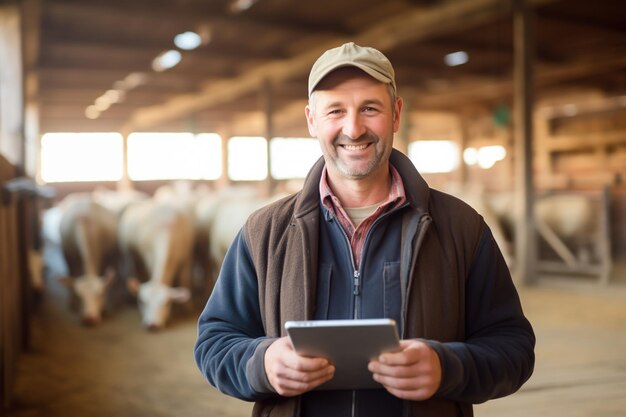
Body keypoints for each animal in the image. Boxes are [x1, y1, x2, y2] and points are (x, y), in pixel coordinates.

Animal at [118, 200, 194, 330]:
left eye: (167, 303)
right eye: (141, 302)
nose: (152, 324)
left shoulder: (186, 258)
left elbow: (185, 279)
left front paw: (186, 308)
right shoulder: (148, 257)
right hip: (129, 252)